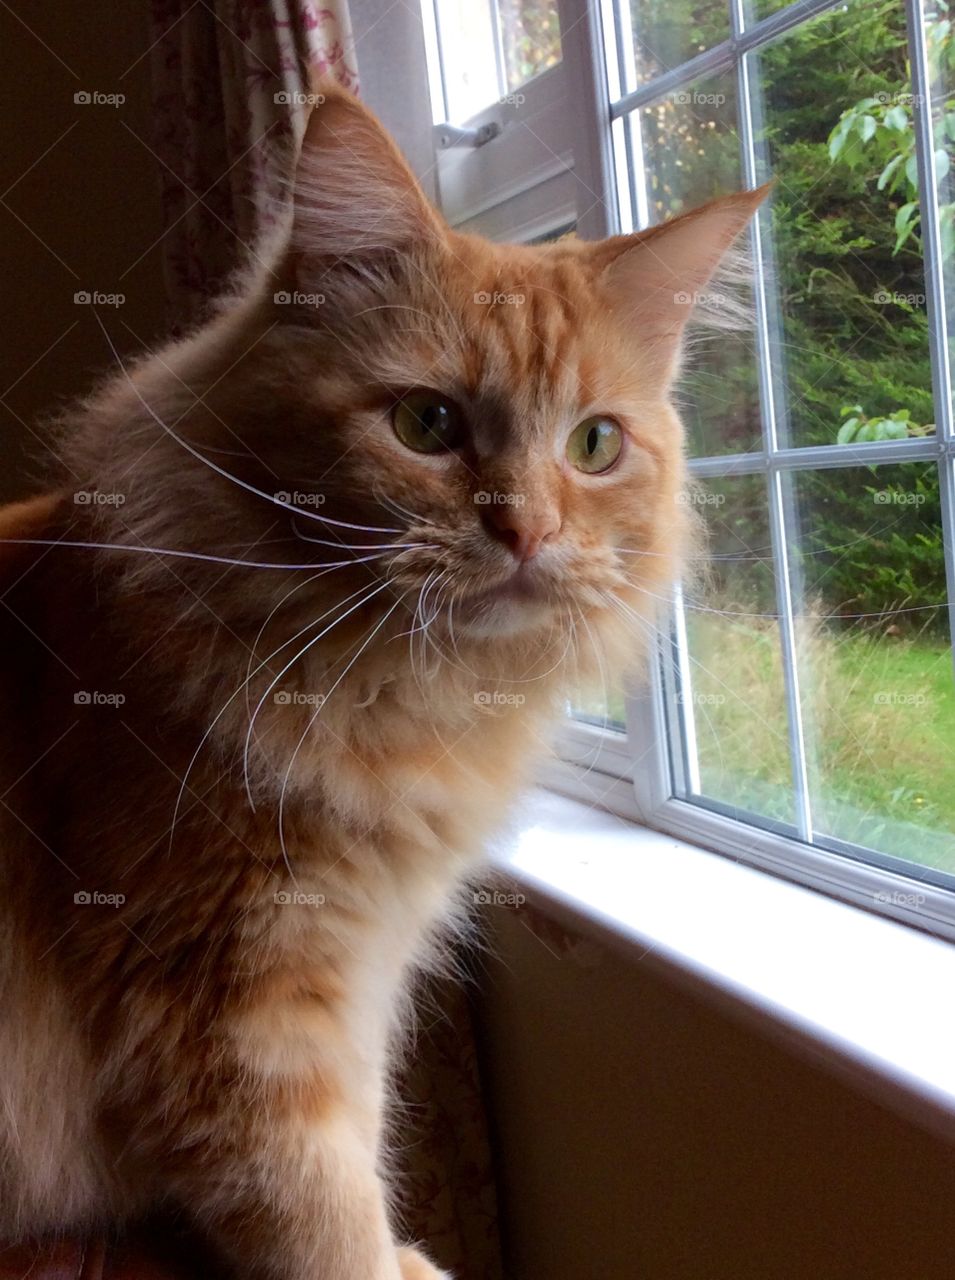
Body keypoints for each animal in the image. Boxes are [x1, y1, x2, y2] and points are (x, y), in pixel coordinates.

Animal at [0, 85, 762, 1274]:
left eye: (594, 446)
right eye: (426, 424)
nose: (527, 530)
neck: (382, 687)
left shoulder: (346, 981)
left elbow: (349, 1164)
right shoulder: (231, 999)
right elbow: (318, 1213)